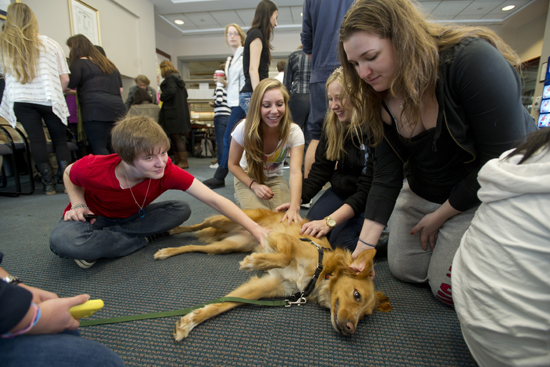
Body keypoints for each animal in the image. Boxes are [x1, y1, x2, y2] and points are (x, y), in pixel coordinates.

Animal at [153, 210, 390, 342]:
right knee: (198, 225)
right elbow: (284, 257)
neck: (321, 271)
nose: (351, 330)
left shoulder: (270, 285)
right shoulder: (282, 238)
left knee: (194, 246)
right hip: (227, 219)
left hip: (225, 247)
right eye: (357, 295)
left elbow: (224, 304)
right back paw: (174, 231)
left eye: (365, 316)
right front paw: (254, 262)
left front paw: (191, 321)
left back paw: (168, 251)